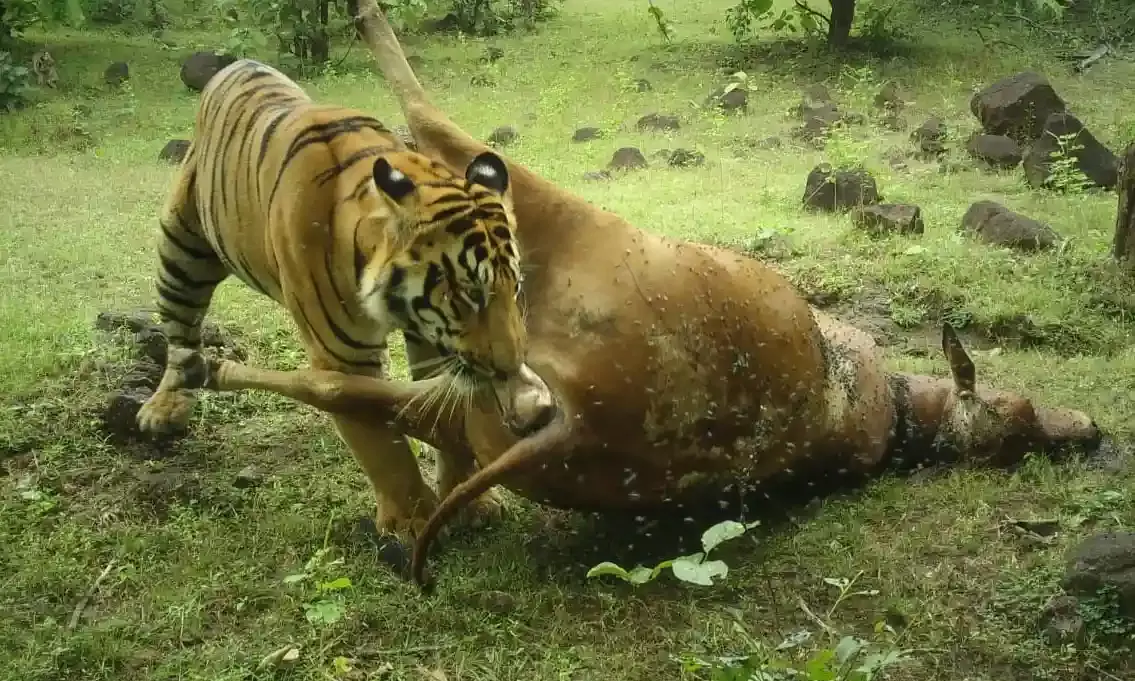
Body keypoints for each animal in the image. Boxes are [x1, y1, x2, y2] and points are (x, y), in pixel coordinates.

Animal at [134, 58, 528, 537]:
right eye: (470, 294)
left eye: (515, 287)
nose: (510, 365)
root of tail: (238, 63)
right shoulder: (346, 358)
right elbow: (381, 442)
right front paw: (413, 520)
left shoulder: (438, 347)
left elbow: (446, 415)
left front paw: (470, 501)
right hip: (182, 249)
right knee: (180, 333)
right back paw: (165, 406)